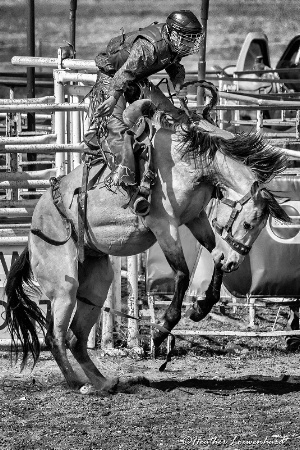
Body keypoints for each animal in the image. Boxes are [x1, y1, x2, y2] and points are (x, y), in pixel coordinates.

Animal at [4, 109, 290, 394]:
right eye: (248, 223)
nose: (234, 262)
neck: (189, 165)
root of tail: (32, 232)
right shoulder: (164, 225)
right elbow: (182, 274)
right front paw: (161, 330)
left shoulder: (195, 218)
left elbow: (213, 257)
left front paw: (201, 307)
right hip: (64, 285)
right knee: (55, 336)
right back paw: (77, 383)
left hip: (97, 282)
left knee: (76, 337)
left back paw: (103, 382)